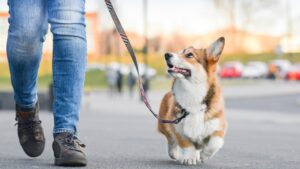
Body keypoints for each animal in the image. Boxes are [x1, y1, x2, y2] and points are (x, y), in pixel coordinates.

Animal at [158, 37, 226, 165]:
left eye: (189, 55)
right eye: (179, 52)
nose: (166, 54)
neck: (192, 92)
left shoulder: (218, 127)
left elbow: (214, 143)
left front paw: (204, 155)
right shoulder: (178, 128)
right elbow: (186, 144)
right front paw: (190, 158)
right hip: (163, 124)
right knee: (170, 139)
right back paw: (174, 153)